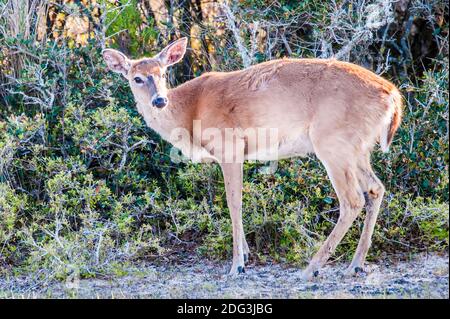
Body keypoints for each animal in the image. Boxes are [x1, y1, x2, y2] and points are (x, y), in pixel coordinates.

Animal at [103, 37, 402, 280]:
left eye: (163, 73)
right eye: (136, 78)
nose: (159, 101)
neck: (189, 112)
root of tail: (393, 96)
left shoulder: (229, 147)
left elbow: (233, 202)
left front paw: (237, 265)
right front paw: (245, 254)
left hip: (332, 142)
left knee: (352, 200)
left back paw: (311, 268)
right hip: (358, 149)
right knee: (376, 188)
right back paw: (355, 265)